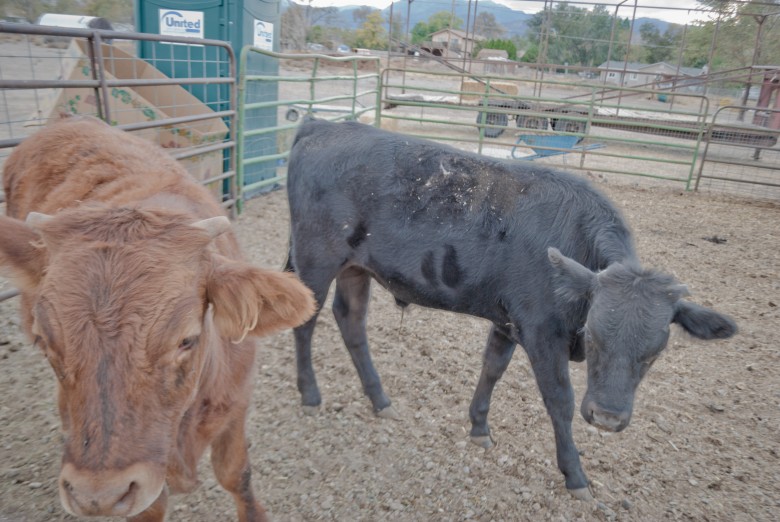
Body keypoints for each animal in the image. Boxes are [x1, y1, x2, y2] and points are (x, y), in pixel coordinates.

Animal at [284, 118, 737, 501]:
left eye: (655, 352)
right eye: (592, 337)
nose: (607, 418)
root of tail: (323, 125)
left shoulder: (506, 321)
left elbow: (492, 369)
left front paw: (479, 426)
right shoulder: (541, 331)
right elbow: (560, 399)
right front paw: (575, 474)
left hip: (355, 267)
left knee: (351, 321)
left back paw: (380, 399)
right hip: (314, 259)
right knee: (306, 322)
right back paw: (310, 394)